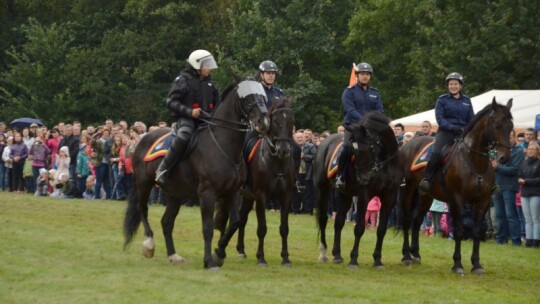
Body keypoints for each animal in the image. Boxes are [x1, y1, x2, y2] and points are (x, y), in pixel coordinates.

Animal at [125, 78, 272, 268]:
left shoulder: (233, 192)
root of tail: (142, 139)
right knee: (142, 208)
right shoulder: (207, 193)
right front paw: (209, 260)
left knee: (166, 222)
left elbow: (235, 222)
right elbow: (208, 228)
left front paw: (219, 253)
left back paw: (173, 255)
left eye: (262, 95)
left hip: (175, 193)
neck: (223, 145)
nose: (264, 121)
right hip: (144, 183)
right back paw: (149, 244)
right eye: (247, 98)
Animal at [235, 97, 296, 266]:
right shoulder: (261, 197)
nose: (284, 150)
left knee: (242, 219)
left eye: (291, 121)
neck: (277, 161)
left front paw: (286, 258)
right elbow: (262, 228)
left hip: (248, 197)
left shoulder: (287, 197)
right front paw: (261, 257)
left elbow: (284, 228)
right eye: (276, 121)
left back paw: (241, 250)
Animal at [312, 111, 400, 268]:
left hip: (344, 194)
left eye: (371, 147)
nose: (364, 178)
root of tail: (324, 142)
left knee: (339, 221)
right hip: (323, 190)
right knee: (323, 219)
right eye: (353, 150)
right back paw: (324, 254)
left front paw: (378, 260)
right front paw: (353, 260)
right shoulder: (364, 196)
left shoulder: (390, 197)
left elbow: (382, 229)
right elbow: (359, 228)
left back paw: (337, 255)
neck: (383, 164)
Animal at [400, 98, 516, 274]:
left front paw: (476, 265)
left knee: (417, 220)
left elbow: (476, 231)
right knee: (407, 220)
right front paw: (458, 264)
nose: (505, 158)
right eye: (497, 126)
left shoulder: (483, 201)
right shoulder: (457, 200)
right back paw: (406, 256)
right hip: (409, 189)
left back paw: (416, 254)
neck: (474, 161)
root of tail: (408, 144)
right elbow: (459, 231)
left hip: (426, 196)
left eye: (510, 127)